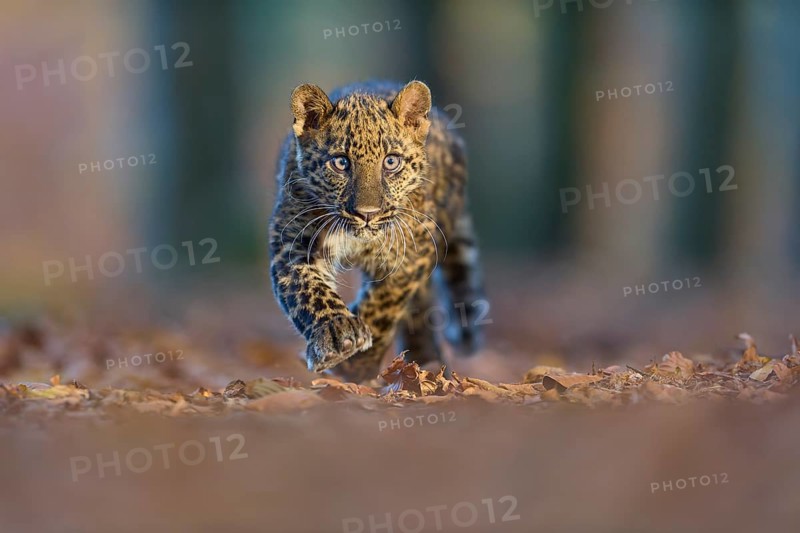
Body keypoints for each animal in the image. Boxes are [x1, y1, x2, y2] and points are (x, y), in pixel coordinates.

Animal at [269, 80, 486, 383]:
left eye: (391, 162)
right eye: (341, 162)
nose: (367, 214)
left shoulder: (412, 252)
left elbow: (385, 302)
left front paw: (357, 363)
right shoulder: (292, 240)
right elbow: (306, 289)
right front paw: (337, 334)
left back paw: (425, 360)